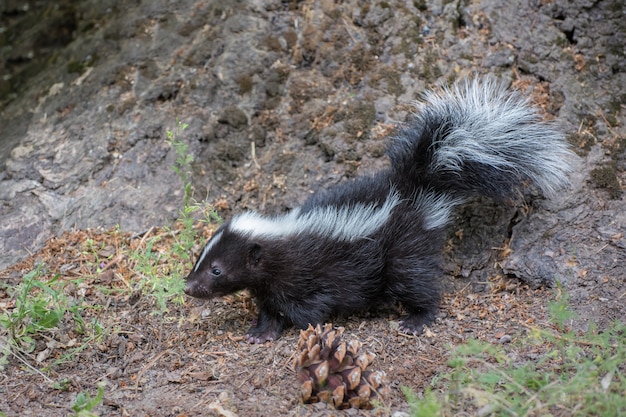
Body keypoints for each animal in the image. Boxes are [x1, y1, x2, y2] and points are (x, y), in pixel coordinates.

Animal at [182, 77, 572, 342]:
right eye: (200, 260)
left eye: (216, 270)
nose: (187, 287)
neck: (281, 240)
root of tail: (413, 188)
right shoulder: (270, 284)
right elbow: (270, 307)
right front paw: (262, 332)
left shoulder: (311, 274)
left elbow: (312, 306)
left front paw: (301, 324)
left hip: (402, 250)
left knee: (418, 283)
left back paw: (416, 320)